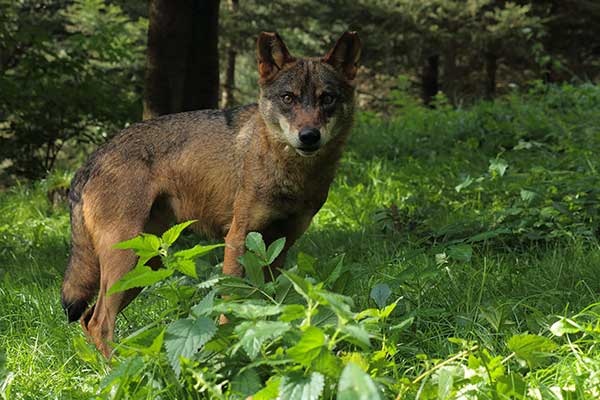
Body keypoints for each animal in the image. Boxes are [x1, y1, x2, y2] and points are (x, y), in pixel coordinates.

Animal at [61, 31, 360, 356]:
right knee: (99, 322)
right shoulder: (237, 238)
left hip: (146, 265)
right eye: (288, 98)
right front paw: (228, 348)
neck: (290, 172)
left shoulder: (278, 247)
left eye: (327, 98)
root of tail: (91, 160)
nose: (308, 136)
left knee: (87, 318)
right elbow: (231, 302)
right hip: (128, 262)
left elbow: (267, 303)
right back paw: (120, 368)